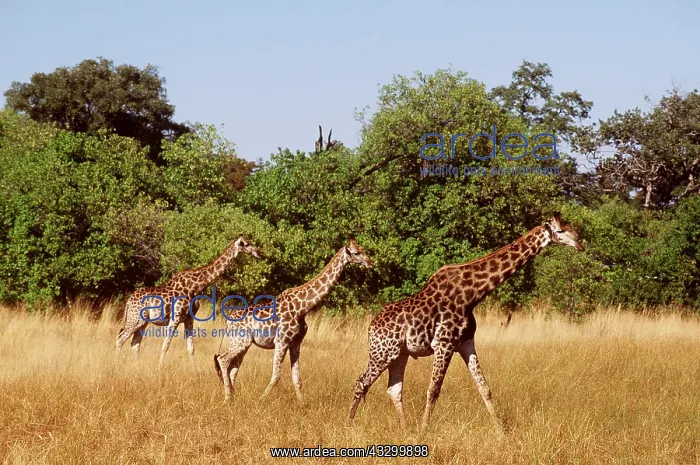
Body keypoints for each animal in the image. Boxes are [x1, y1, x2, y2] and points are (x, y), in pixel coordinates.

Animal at [116, 236, 262, 367]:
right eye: (246, 244)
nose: (259, 253)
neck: (196, 286)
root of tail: (128, 302)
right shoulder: (175, 318)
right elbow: (165, 345)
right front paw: (159, 369)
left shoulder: (189, 318)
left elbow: (191, 348)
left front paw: (195, 371)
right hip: (135, 319)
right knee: (120, 339)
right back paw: (117, 366)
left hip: (142, 322)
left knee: (134, 344)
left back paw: (138, 367)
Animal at [214, 239, 373, 402]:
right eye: (356, 253)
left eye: (363, 249)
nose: (370, 262)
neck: (302, 308)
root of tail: (228, 322)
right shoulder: (281, 341)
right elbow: (276, 376)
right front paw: (261, 400)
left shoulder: (296, 343)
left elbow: (297, 378)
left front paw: (302, 404)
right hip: (240, 341)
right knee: (223, 360)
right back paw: (227, 398)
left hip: (243, 343)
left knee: (233, 368)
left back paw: (231, 398)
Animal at [348, 214, 584, 431]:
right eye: (561, 230)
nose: (580, 243)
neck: (473, 293)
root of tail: (370, 328)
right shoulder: (443, 344)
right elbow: (433, 390)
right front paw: (423, 432)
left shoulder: (466, 342)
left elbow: (484, 388)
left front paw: (501, 433)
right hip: (382, 353)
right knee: (361, 383)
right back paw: (348, 424)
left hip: (400, 354)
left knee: (394, 389)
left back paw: (405, 429)